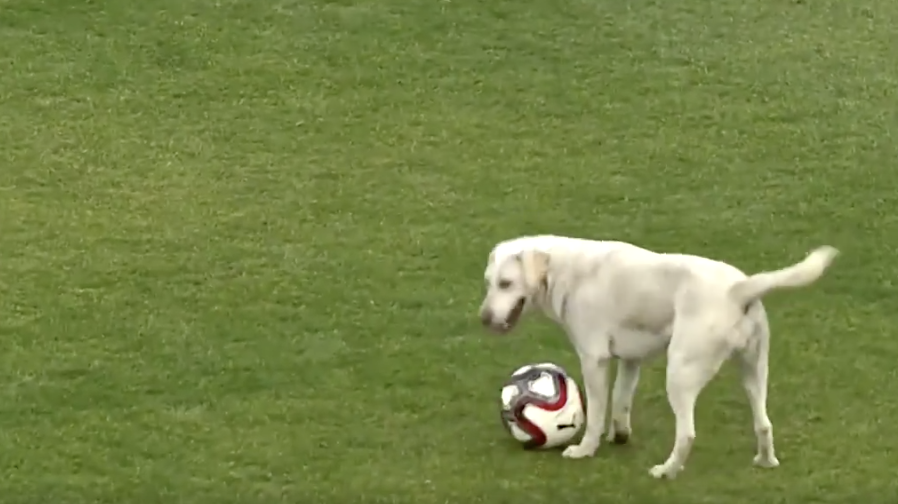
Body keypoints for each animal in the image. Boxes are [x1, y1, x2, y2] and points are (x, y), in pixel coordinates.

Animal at [480, 234, 836, 478]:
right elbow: (621, 401)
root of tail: (740, 289)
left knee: (687, 433)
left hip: (680, 374)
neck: (567, 269)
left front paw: (585, 449)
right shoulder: (630, 360)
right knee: (764, 423)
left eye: (506, 283)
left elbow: (595, 414)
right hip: (753, 372)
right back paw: (765, 461)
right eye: (489, 283)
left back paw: (667, 471)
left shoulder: (594, 359)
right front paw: (619, 435)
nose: (483, 318)